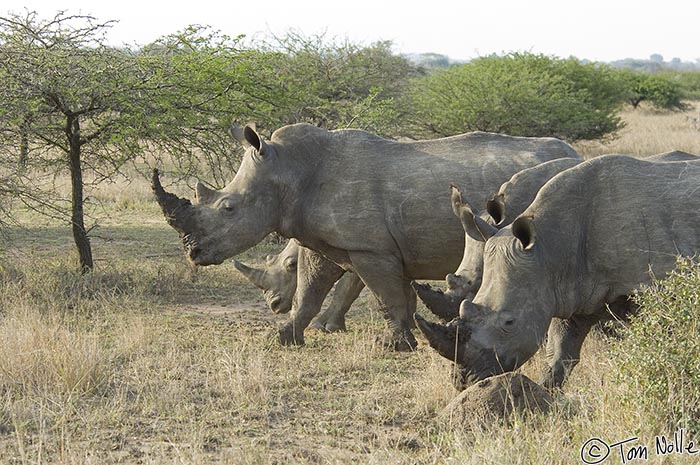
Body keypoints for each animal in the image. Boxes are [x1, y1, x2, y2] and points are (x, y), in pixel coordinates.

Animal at [154, 122, 580, 348]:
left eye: (228, 208)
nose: (192, 252)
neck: (287, 171)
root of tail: (575, 153)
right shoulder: (327, 240)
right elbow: (312, 288)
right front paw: (286, 336)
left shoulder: (368, 247)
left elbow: (385, 295)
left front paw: (397, 345)